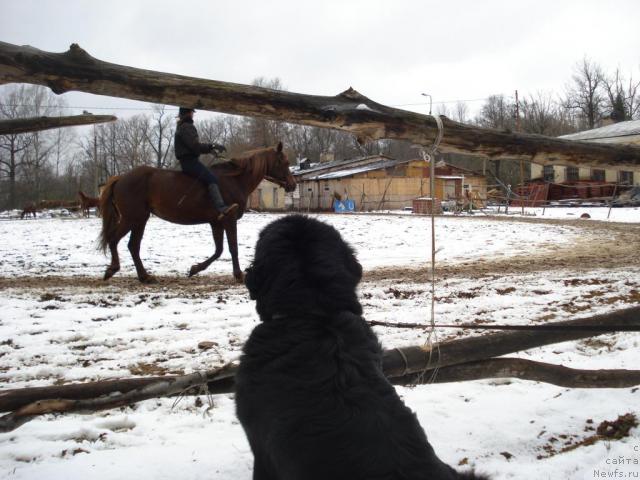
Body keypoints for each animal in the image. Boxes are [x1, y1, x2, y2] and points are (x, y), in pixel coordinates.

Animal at [99, 143, 296, 284]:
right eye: (285, 163)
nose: (292, 185)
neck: (235, 179)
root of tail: (121, 178)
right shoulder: (229, 219)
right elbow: (232, 247)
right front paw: (239, 275)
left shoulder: (216, 222)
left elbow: (219, 250)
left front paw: (195, 269)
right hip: (132, 218)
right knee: (114, 240)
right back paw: (112, 270)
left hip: (140, 219)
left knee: (133, 245)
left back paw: (145, 277)